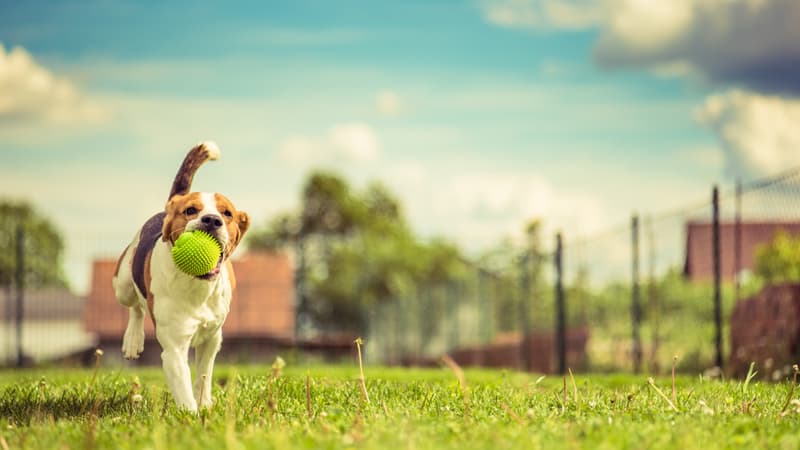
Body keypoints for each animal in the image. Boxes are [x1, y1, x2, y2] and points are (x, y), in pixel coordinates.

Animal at [112, 142, 248, 412]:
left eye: (227, 213)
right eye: (190, 210)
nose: (211, 220)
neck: (196, 284)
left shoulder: (212, 338)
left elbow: (203, 375)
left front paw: (204, 404)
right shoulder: (174, 348)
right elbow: (184, 391)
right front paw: (193, 416)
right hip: (122, 284)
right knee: (135, 307)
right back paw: (133, 340)